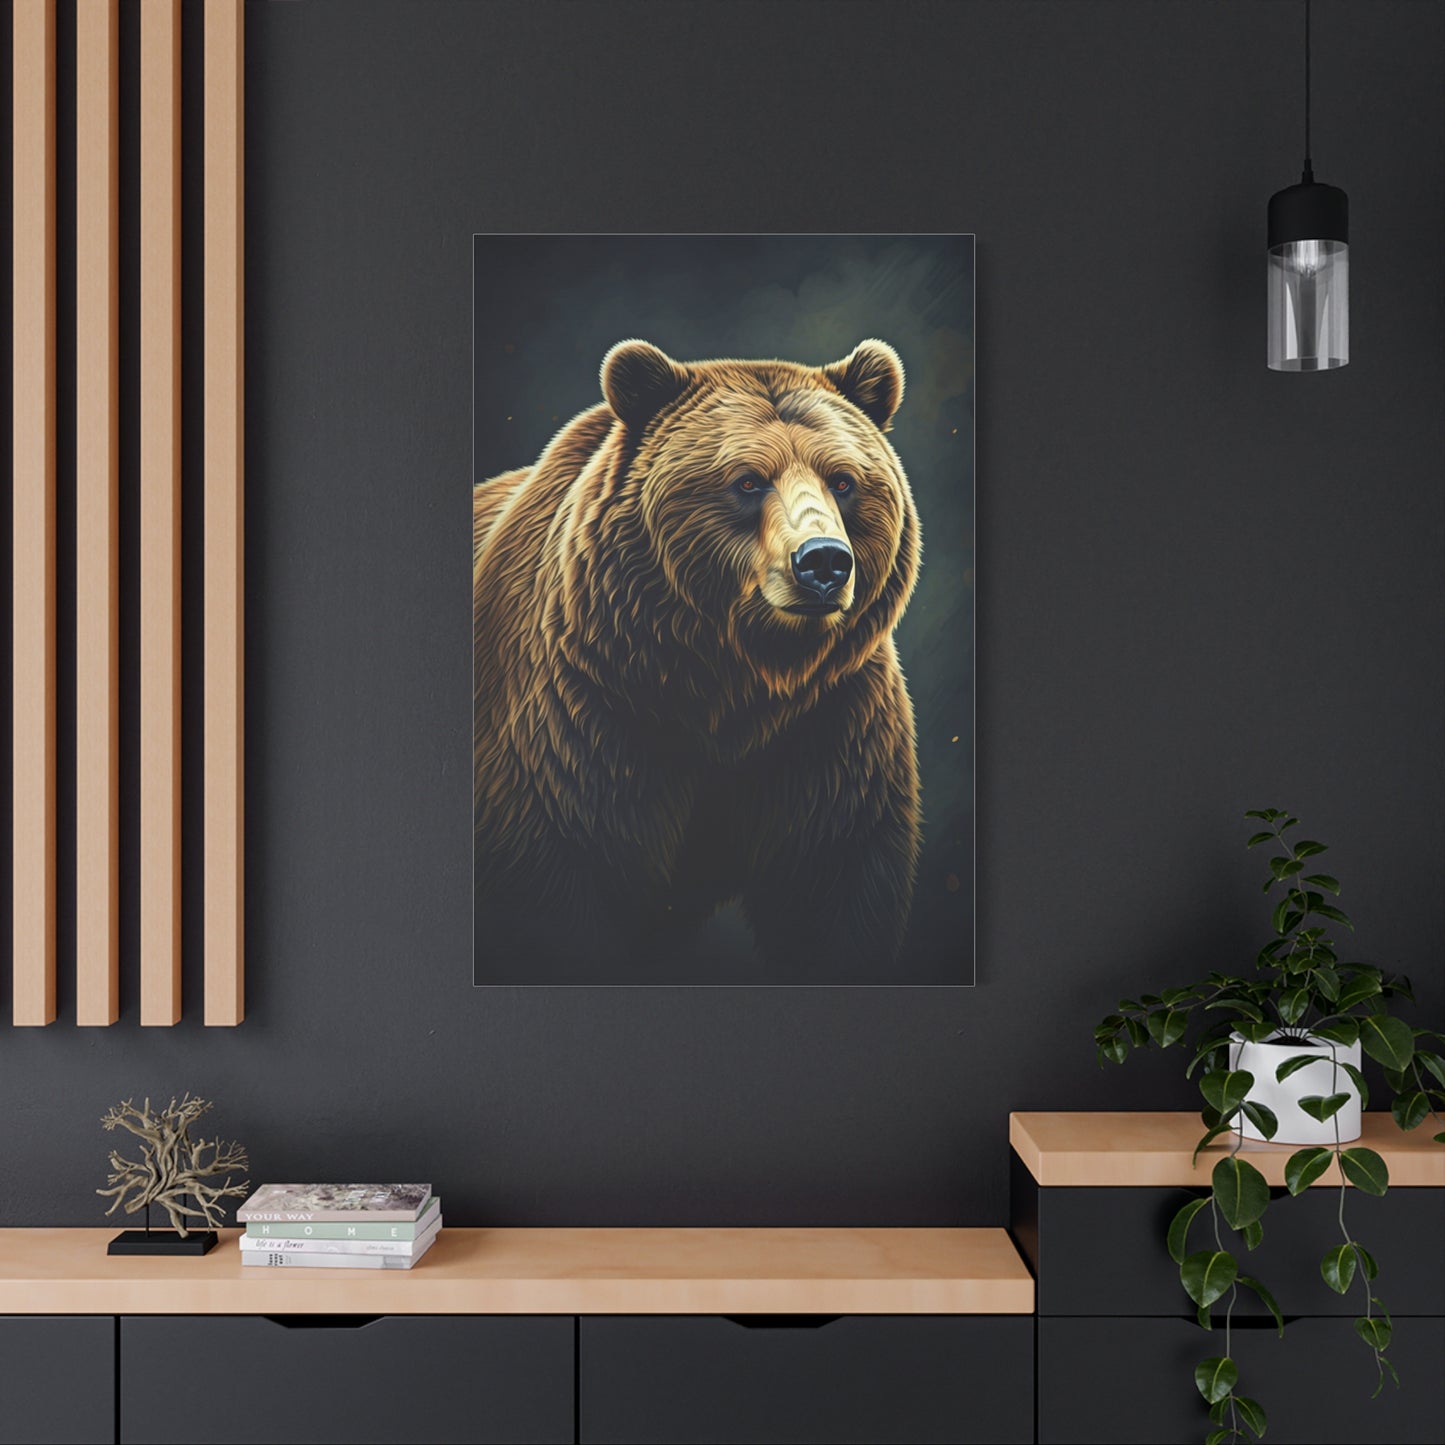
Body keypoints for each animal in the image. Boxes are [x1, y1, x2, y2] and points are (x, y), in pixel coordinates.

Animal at [473, 338, 922, 981]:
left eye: (843, 480)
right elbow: (555, 881)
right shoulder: (580, 720)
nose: (823, 561)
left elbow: (836, 893)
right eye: (748, 480)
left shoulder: (831, 726)